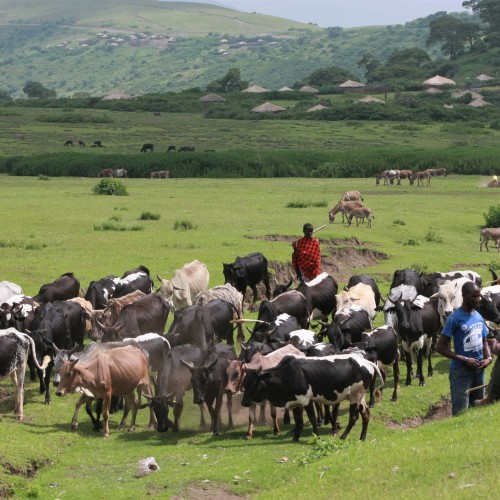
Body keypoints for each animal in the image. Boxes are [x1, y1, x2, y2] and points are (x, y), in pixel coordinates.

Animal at [240, 354, 380, 440]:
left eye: (253, 383)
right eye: (244, 383)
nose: (244, 402)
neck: (287, 375)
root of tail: (365, 361)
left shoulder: (306, 400)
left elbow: (312, 418)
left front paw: (316, 435)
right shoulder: (295, 401)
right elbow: (298, 419)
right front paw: (296, 437)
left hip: (355, 396)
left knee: (354, 417)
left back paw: (344, 436)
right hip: (360, 396)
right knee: (366, 414)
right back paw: (362, 437)